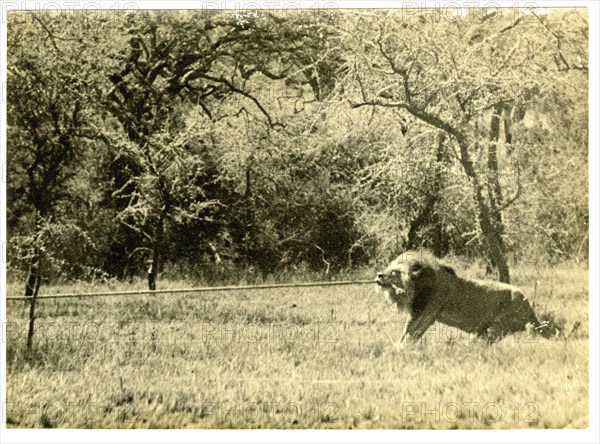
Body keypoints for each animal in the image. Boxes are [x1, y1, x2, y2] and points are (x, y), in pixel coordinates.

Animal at [378, 251, 552, 346]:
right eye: (388, 268)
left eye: (393, 272)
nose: (379, 275)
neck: (419, 287)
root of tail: (529, 306)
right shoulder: (416, 311)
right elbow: (406, 330)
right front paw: (396, 346)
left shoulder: (429, 312)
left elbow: (414, 332)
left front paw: (403, 349)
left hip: (497, 326)